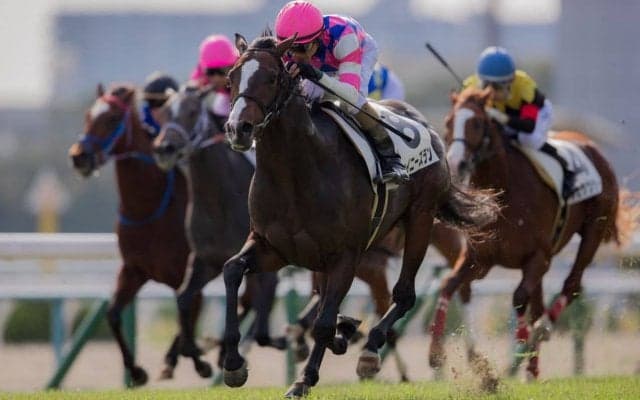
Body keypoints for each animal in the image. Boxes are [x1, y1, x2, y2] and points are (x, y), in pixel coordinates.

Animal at [67, 84, 211, 385]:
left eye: (112, 119)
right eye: (88, 116)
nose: (78, 156)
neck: (150, 207)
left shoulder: (188, 268)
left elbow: (189, 309)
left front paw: (199, 362)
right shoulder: (133, 270)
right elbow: (112, 314)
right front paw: (136, 371)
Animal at [151, 85, 288, 366]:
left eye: (193, 111)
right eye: (164, 112)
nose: (165, 148)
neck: (218, 200)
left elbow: (263, 310)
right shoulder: (207, 259)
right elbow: (183, 297)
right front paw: (196, 354)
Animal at [221, 33, 498, 397]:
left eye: (271, 77)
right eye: (231, 79)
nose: (237, 128)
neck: (295, 172)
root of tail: (428, 127)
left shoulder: (346, 255)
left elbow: (323, 322)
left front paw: (303, 379)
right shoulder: (273, 247)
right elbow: (232, 270)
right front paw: (233, 363)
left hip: (421, 220)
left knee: (404, 295)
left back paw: (369, 348)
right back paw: (346, 332)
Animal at [430, 86, 628, 382]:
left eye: (476, 123)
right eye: (448, 122)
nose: (455, 163)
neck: (505, 190)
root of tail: (592, 147)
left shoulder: (537, 256)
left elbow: (519, 298)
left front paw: (522, 348)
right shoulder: (481, 259)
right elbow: (448, 284)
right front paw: (435, 353)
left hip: (592, 231)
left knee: (570, 286)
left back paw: (540, 334)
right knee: (539, 302)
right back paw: (532, 368)